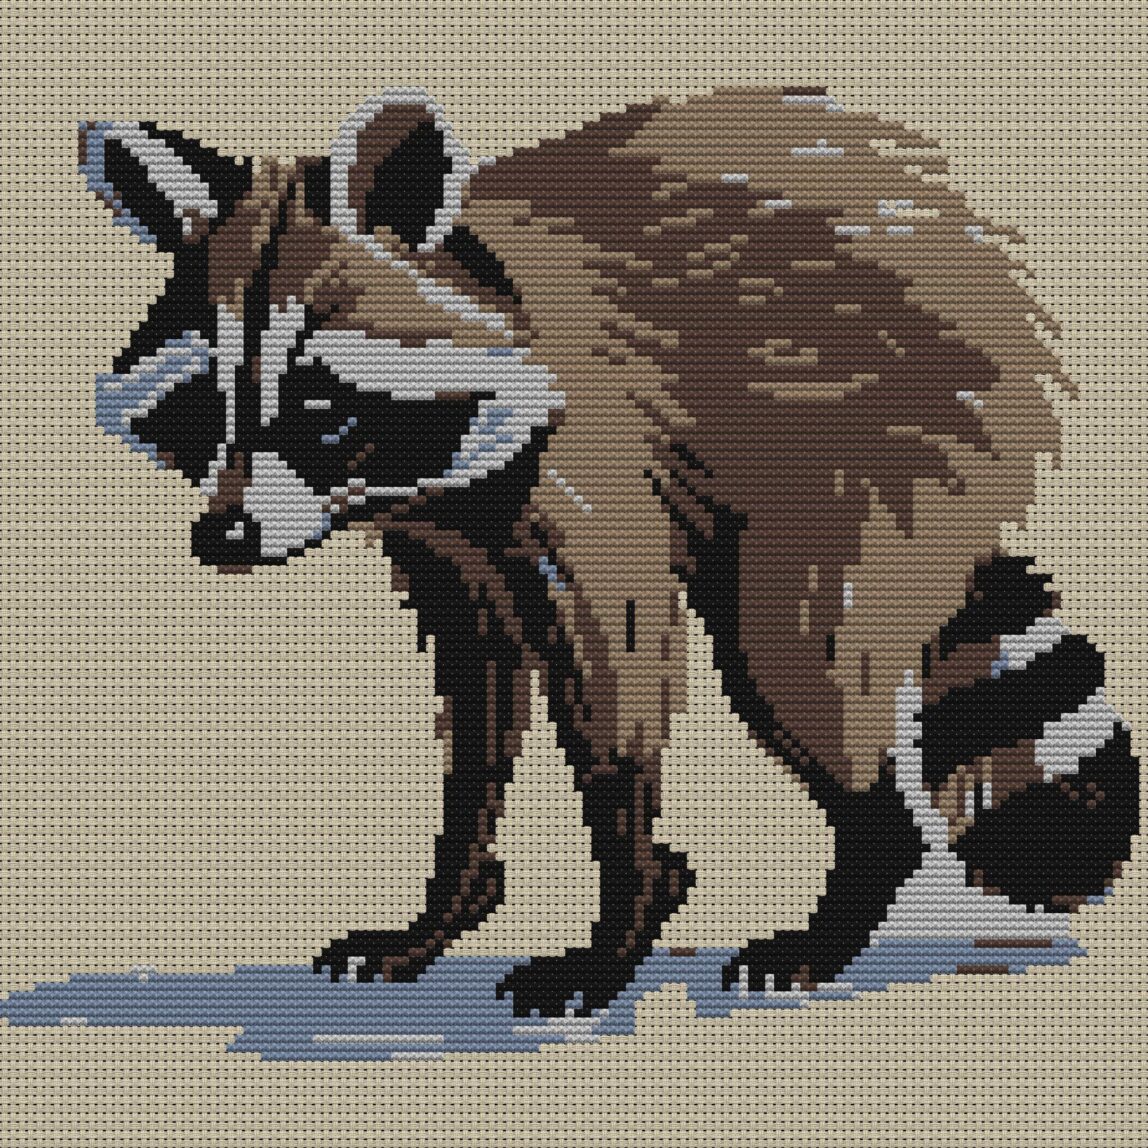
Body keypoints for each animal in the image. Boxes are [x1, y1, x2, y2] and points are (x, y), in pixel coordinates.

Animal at [79, 87, 1139, 1016]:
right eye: (205, 408)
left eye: (316, 407)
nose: (225, 536)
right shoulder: (446, 542)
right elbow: (477, 711)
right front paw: (450, 894)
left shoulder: (594, 455)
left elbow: (617, 676)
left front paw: (624, 901)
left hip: (868, 445)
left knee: (793, 654)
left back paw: (857, 870)